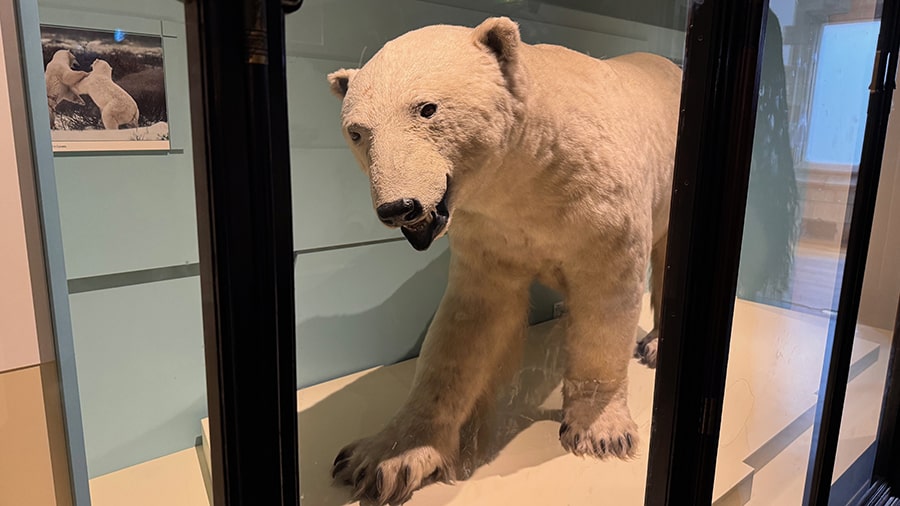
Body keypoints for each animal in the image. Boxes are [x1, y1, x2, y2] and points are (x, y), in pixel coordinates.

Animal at [327, 17, 681, 505]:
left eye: (427, 109)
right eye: (358, 132)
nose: (399, 207)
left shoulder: (603, 204)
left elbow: (608, 298)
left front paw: (601, 432)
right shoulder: (491, 229)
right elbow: (469, 323)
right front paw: (384, 459)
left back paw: (656, 345)